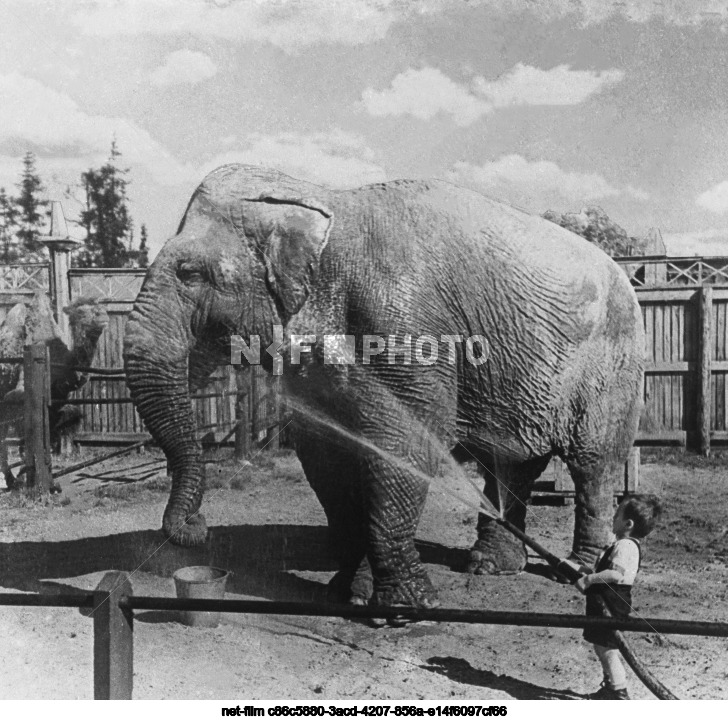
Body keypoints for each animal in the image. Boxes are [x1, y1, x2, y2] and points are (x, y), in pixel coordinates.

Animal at [123, 165, 644, 608]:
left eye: (191, 274)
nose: (197, 527)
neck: (320, 197)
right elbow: (324, 451)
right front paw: (349, 591)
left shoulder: (410, 327)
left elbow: (407, 438)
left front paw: (404, 605)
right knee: (511, 463)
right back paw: (489, 566)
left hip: (613, 366)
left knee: (593, 465)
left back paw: (575, 571)